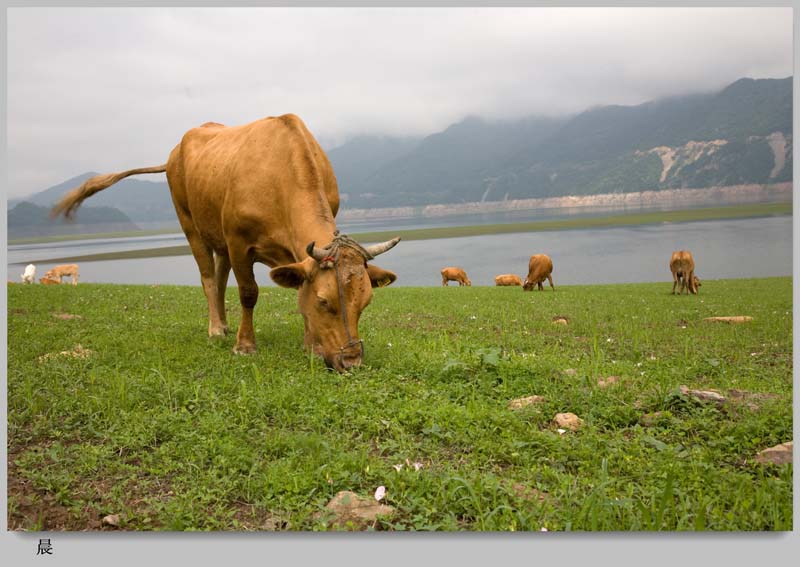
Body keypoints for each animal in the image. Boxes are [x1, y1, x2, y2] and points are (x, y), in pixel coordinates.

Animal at [50, 115, 400, 372]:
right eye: (325, 301)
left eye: (365, 303)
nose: (351, 361)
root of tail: (175, 151)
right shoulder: (239, 241)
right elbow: (248, 293)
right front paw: (245, 346)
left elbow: (298, 289)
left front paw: (310, 345)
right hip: (190, 223)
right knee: (207, 277)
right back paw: (216, 328)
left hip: (216, 234)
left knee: (219, 278)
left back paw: (224, 322)